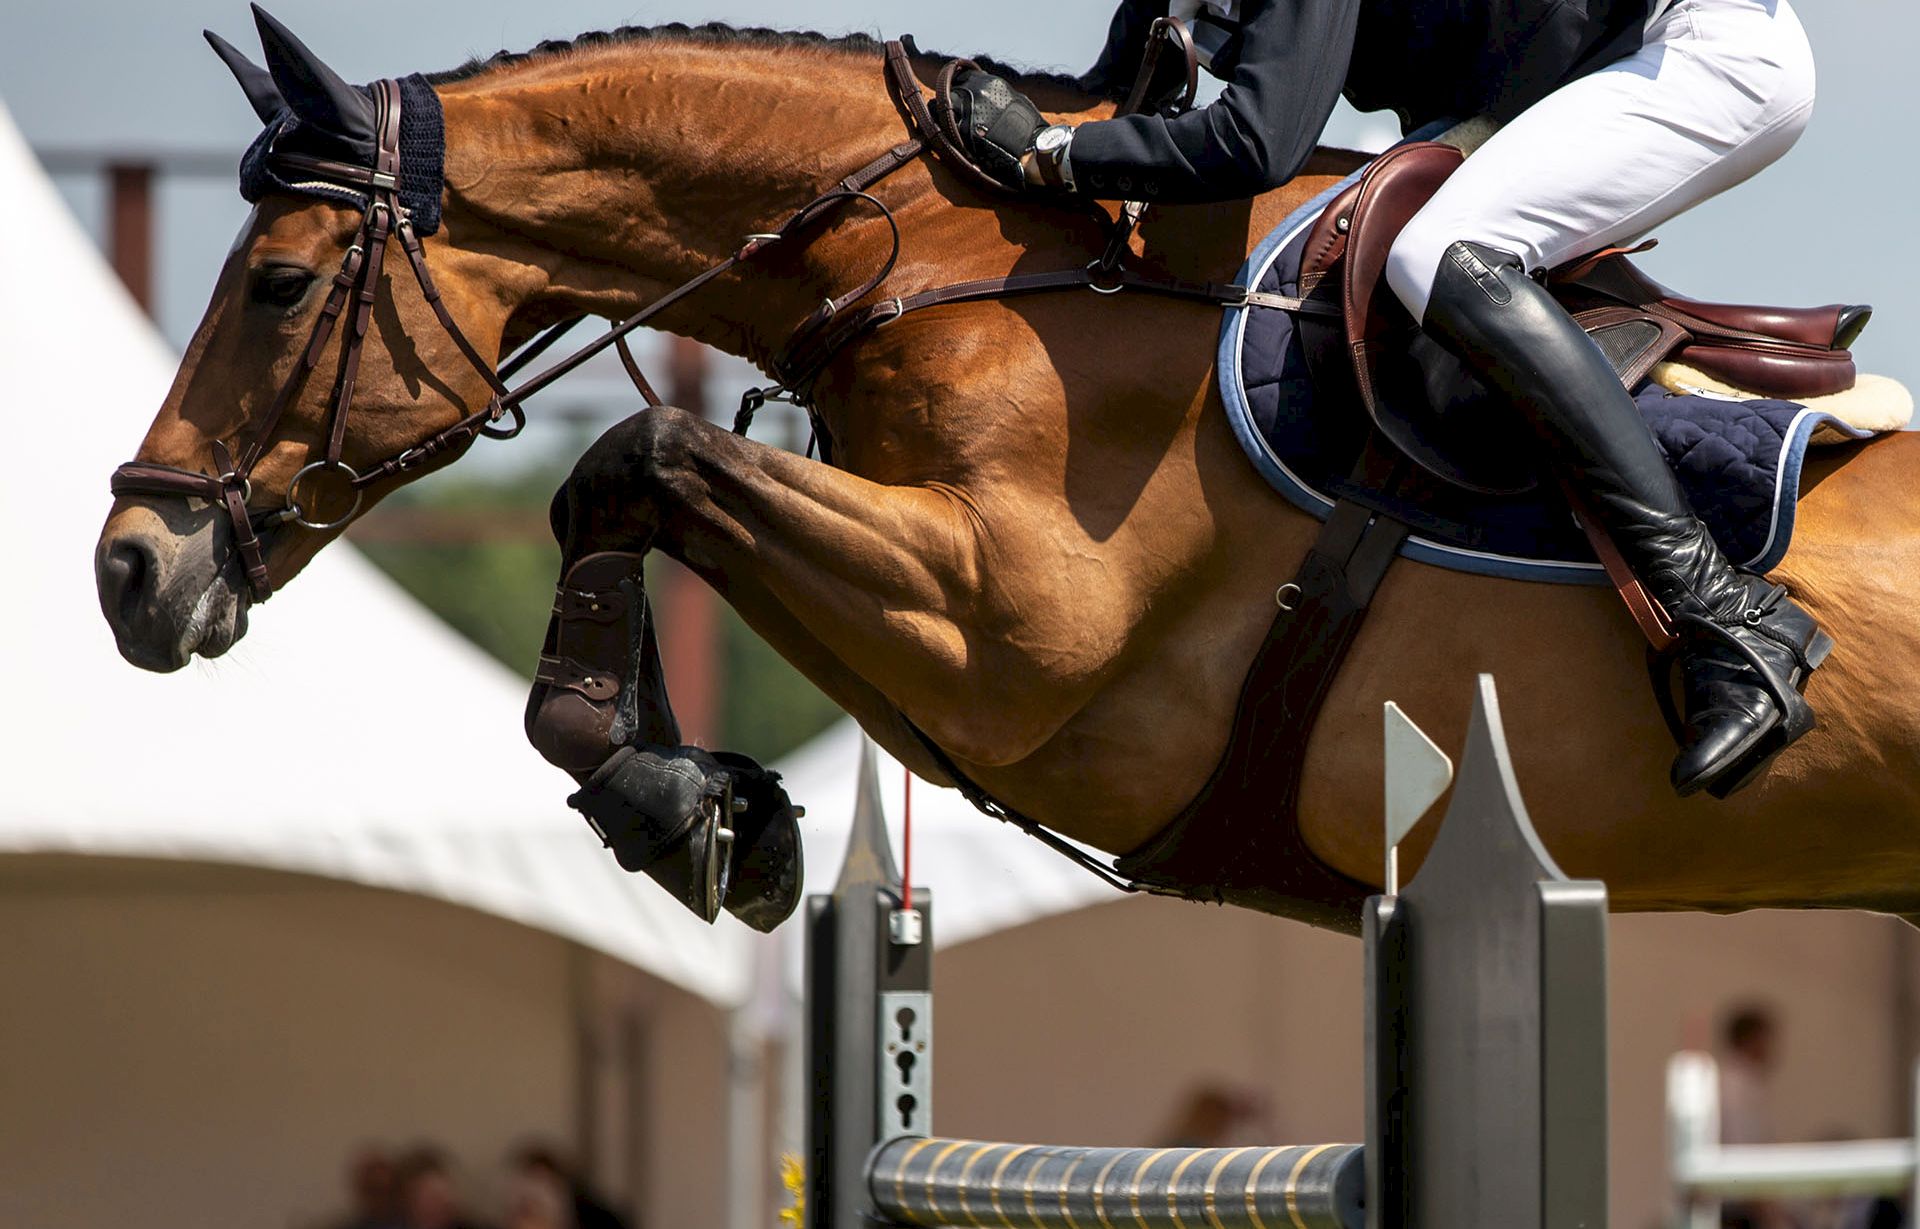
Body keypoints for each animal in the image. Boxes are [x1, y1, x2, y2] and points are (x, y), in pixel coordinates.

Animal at [96, 18, 1920, 932]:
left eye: (278, 284)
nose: (127, 567)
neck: (969, 262)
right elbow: (632, 490)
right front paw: (700, 803)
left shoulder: (1016, 627)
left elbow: (636, 455)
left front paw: (671, 795)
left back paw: (1740, 673)